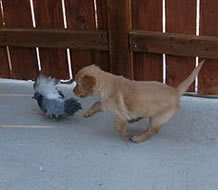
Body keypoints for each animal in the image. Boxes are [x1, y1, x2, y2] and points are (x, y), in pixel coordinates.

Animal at [73, 60, 204, 143]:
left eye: (78, 84)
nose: (73, 91)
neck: (105, 84)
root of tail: (175, 91)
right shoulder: (106, 104)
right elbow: (96, 104)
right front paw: (87, 113)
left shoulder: (121, 114)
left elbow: (117, 126)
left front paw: (125, 134)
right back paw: (135, 120)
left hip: (158, 117)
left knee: (152, 131)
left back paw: (138, 138)